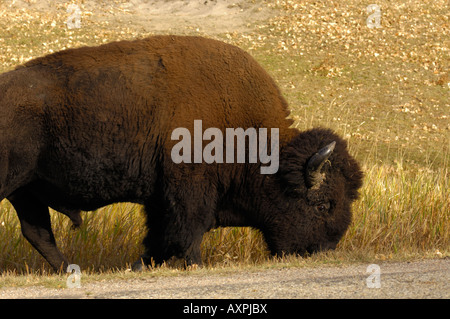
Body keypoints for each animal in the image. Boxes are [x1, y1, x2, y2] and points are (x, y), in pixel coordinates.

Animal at [0, 37, 362, 272]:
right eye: (323, 204)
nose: (323, 251)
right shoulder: (188, 189)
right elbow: (187, 231)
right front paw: (194, 265)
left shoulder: (160, 197)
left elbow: (160, 236)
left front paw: (139, 265)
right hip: (12, 185)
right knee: (38, 232)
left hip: (26, 191)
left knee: (38, 233)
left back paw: (69, 270)